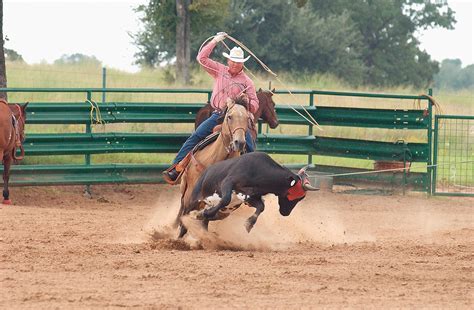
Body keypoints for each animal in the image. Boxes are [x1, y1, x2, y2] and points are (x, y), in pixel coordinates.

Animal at [176, 97, 250, 237]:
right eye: (229, 117)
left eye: (248, 118)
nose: (240, 142)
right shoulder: (190, 197)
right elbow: (184, 223)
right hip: (184, 191)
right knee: (181, 212)